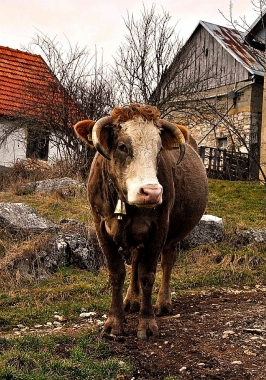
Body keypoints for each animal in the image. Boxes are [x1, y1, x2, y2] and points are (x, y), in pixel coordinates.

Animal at [74, 102, 209, 340]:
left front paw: (146, 323)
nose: (152, 192)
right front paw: (114, 322)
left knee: (167, 261)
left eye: (159, 150)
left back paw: (163, 302)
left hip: (172, 234)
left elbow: (148, 274)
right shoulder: (101, 227)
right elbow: (117, 273)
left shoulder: (159, 229)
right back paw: (131, 300)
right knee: (136, 259)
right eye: (122, 146)